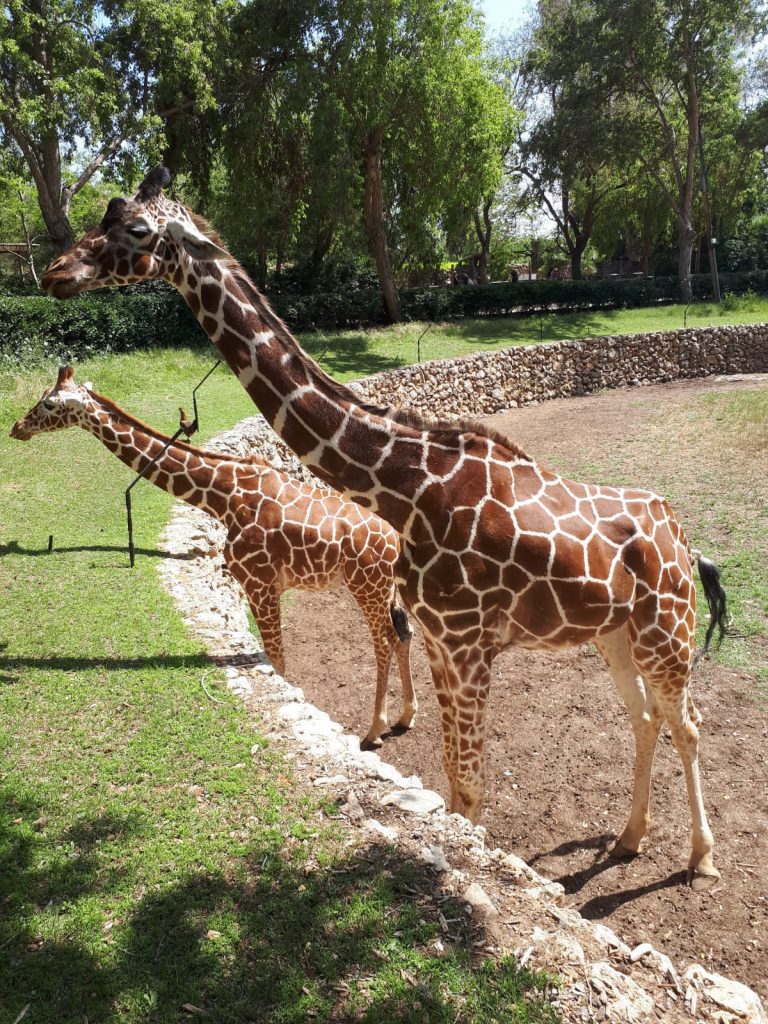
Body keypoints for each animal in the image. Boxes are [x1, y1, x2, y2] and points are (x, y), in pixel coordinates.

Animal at [9, 364, 417, 749]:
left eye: (49, 404)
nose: (17, 427)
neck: (223, 498)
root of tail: (399, 539)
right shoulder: (265, 587)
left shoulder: (259, 584)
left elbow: (278, 663)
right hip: (386, 588)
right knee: (403, 632)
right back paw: (405, 717)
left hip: (366, 585)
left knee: (384, 640)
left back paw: (373, 731)